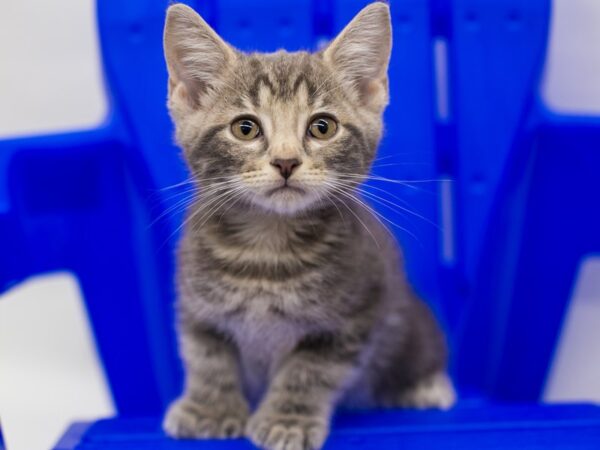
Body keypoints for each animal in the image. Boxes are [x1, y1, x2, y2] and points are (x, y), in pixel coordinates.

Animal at [162, 3, 452, 450]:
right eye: (245, 128)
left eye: (322, 126)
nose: (286, 161)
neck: (267, 247)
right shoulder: (196, 303)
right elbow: (206, 356)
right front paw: (209, 409)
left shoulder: (354, 315)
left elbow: (310, 372)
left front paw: (287, 419)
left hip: (408, 321)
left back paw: (426, 386)